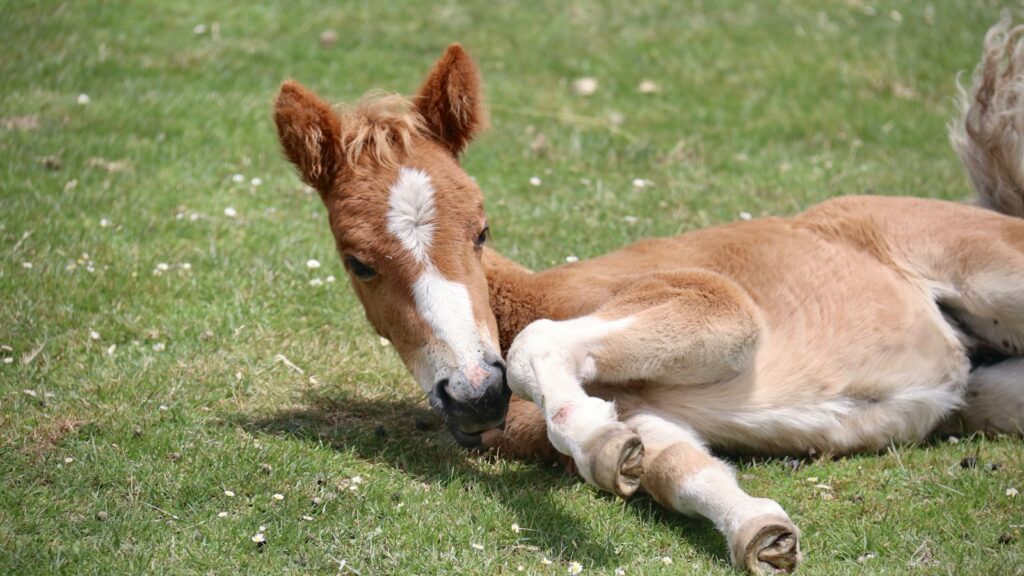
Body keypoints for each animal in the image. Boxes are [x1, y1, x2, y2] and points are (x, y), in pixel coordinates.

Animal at [273, 17, 1024, 574]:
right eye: (359, 263)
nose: (476, 394)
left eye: (481, 230)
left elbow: (540, 346)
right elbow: (677, 468)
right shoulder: (648, 416)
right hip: (990, 394)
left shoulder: (714, 303)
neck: (529, 297)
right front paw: (756, 530)